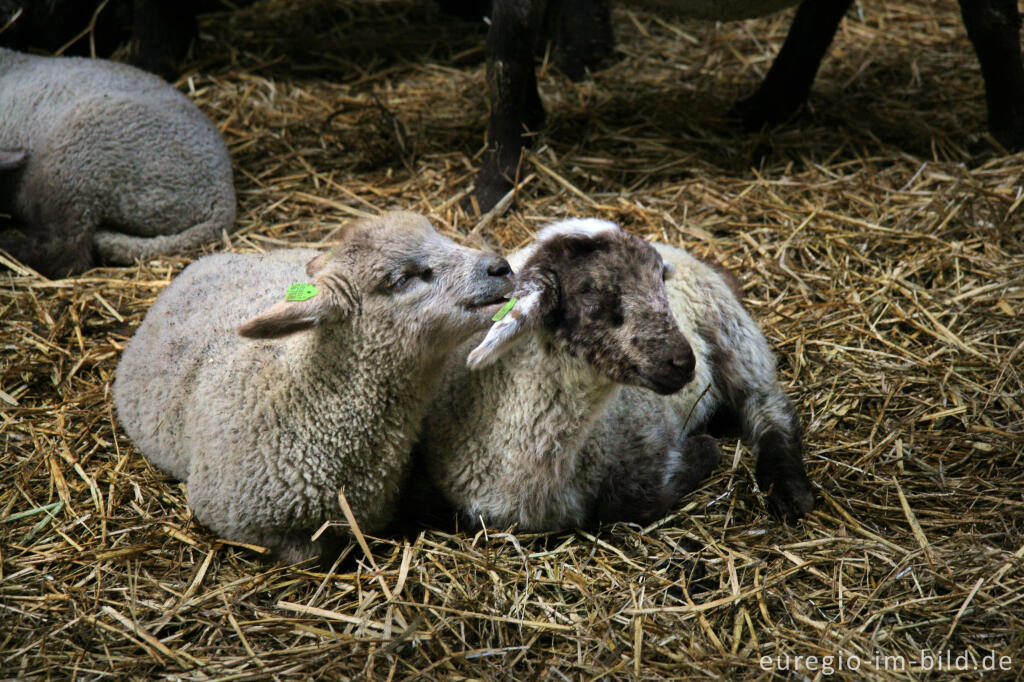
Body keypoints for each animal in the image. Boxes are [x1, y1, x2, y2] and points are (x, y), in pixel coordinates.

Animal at [411, 220, 811, 528]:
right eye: (591, 298)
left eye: (659, 282)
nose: (683, 363)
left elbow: (626, 504)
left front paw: (705, 448)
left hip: (730, 329)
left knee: (768, 407)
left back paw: (789, 489)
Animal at [466, 0, 1024, 209]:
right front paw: (533, 123)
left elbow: (505, 49)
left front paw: (492, 185)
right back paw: (766, 106)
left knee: (992, 21)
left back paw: (1004, 138)